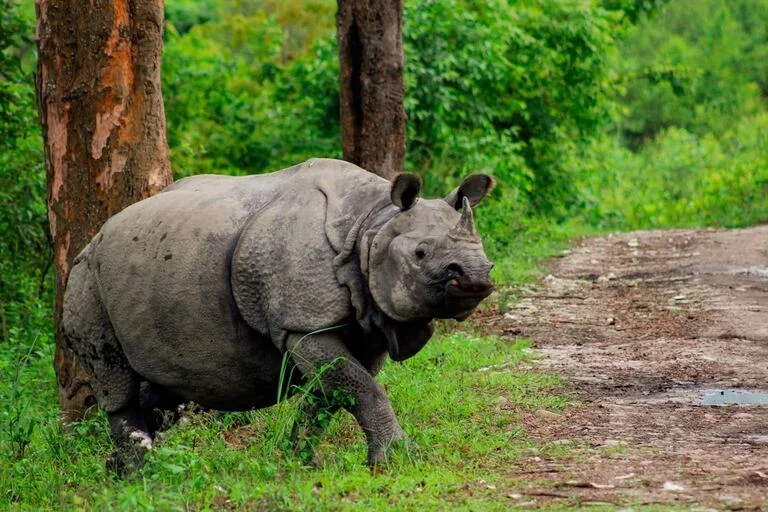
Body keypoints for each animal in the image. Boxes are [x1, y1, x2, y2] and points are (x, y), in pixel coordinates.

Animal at [62, 158, 495, 473]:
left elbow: (332, 392)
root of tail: (95, 237)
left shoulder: (365, 324)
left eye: (484, 250)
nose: (475, 277)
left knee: (160, 387)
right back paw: (140, 473)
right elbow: (362, 388)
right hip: (86, 280)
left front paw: (302, 461)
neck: (371, 226)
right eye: (420, 253)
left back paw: (118, 469)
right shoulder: (301, 325)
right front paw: (396, 461)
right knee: (114, 378)